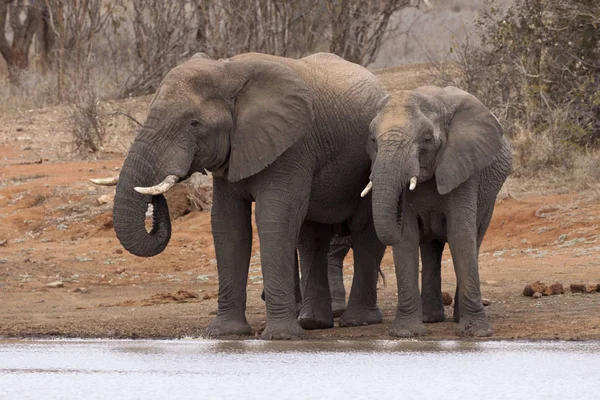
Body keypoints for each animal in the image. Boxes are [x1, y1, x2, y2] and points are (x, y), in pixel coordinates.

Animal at [109, 51, 386, 340]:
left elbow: (275, 220)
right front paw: (225, 333)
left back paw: (358, 321)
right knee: (312, 238)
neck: (228, 70)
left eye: (194, 124)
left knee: (364, 232)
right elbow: (228, 225)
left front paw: (280, 337)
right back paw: (313, 322)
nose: (157, 198)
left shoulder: (293, 145)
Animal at [360, 86, 510, 338]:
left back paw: (455, 318)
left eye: (427, 139)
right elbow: (407, 239)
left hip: (489, 197)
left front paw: (476, 333)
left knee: (475, 238)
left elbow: (461, 235)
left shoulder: (464, 167)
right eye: (372, 139)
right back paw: (431, 319)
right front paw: (406, 333)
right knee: (431, 248)